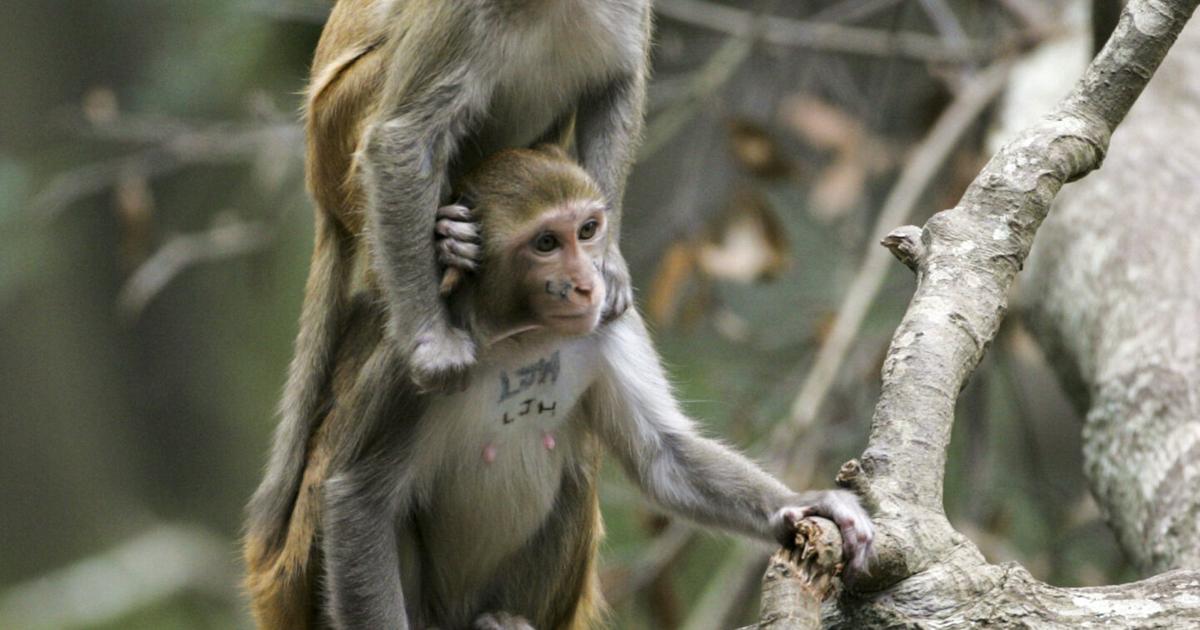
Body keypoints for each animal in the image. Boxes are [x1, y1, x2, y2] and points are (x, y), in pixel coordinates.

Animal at [243, 145, 874, 630]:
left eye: (588, 231)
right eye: (547, 243)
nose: (586, 284)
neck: (518, 334)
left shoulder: (611, 325)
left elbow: (662, 456)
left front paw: (808, 503)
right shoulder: (413, 368)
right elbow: (360, 500)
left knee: (574, 481)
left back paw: (504, 622)